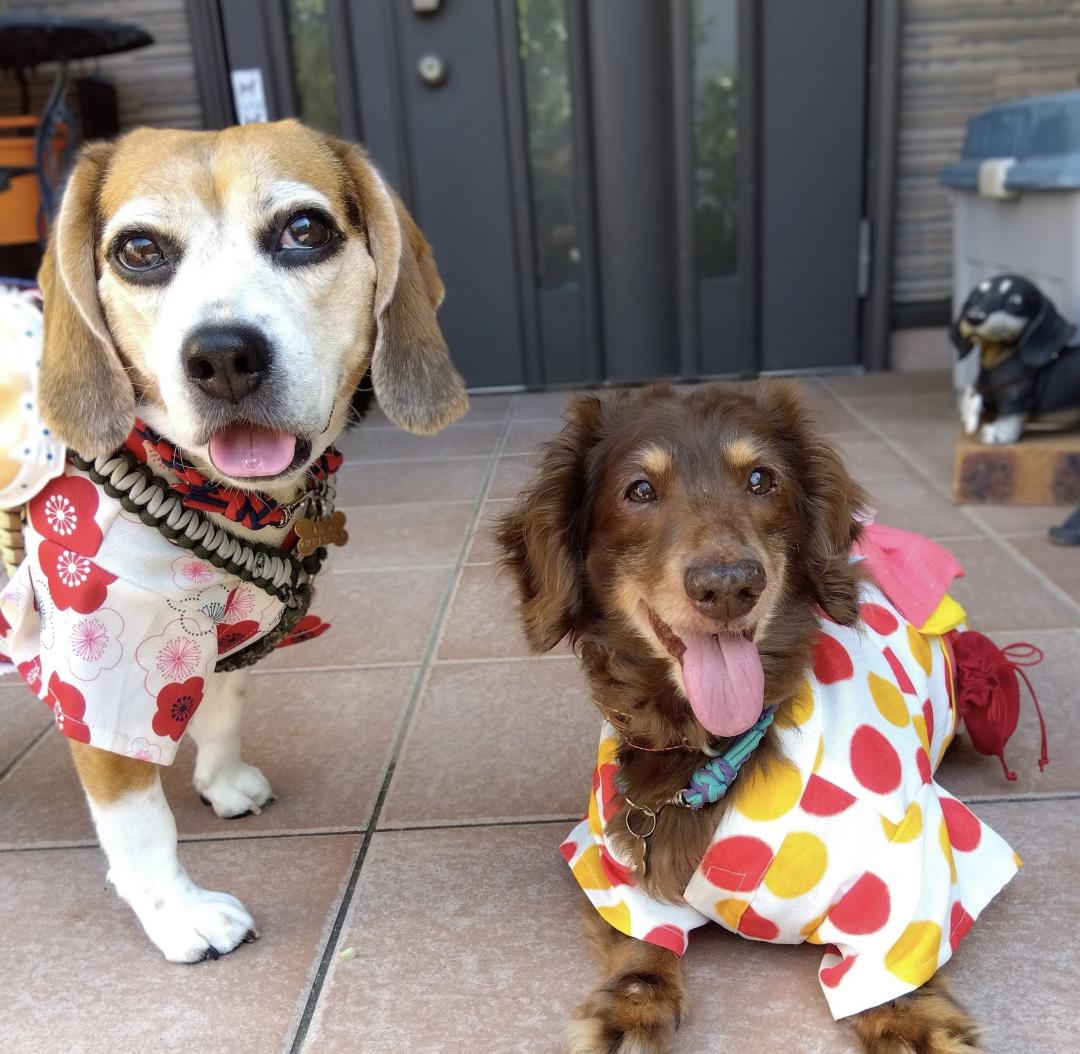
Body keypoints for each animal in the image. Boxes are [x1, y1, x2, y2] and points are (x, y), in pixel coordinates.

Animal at [0, 121, 466, 963]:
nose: (221, 355)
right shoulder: (101, 675)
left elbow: (220, 708)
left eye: (304, 230)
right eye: (139, 250)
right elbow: (138, 821)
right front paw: (176, 913)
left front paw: (221, 783)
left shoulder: (225, 627)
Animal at [496, 382, 1019, 1049]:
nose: (727, 585)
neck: (711, 748)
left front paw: (912, 1022)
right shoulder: (612, 856)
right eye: (638, 490)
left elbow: (894, 962)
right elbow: (644, 942)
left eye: (761, 479)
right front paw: (635, 1003)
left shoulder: (909, 861)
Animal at [954, 274, 1080, 442]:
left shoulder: (1016, 396)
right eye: (976, 297)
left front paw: (999, 432)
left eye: (1014, 301)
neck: (994, 360)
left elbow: (1010, 414)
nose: (974, 317)